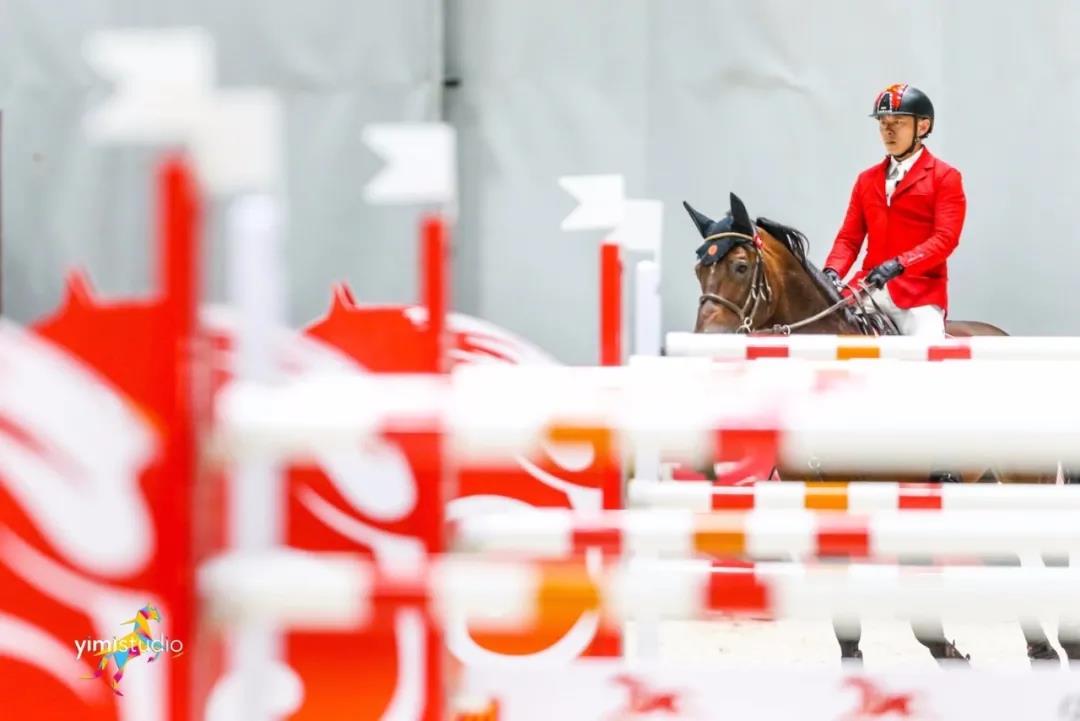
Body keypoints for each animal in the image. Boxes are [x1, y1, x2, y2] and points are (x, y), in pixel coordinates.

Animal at [683, 193, 1079, 666]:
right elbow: (847, 630)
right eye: (699, 269)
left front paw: (949, 651)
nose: (707, 345)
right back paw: (1041, 649)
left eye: (740, 267)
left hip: (1027, 477)